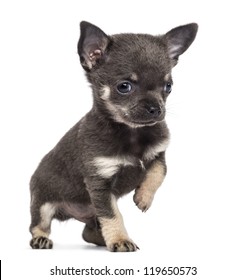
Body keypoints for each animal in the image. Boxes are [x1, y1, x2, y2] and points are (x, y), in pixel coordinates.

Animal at [29, 20, 197, 250]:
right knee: (39, 225)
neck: (132, 132)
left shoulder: (159, 155)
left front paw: (144, 197)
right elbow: (112, 215)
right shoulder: (100, 182)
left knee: (88, 232)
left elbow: (158, 173)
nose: (156, 109)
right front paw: (120, 240)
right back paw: (41, 239)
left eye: (168, 86)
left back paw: (101, 238)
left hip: (90, 215)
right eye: (124, 87)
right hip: (42, 204)